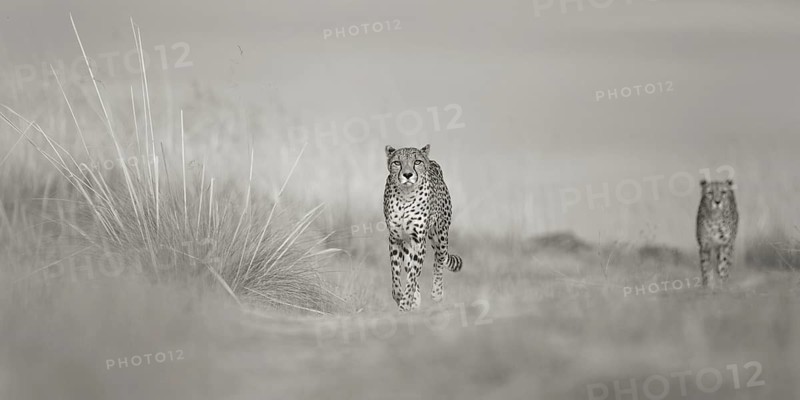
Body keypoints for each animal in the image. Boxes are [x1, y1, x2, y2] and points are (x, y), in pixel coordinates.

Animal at [383, 144, 462, 311]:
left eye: (417, 162)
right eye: (397, 162)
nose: (407, 174)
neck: (405, 195)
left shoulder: (419, 241)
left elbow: (413, 275)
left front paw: (405, 303)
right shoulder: (395, 238)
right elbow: (396, 273)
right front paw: (400, 297)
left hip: (440, 235)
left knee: (438, 260)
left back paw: (436, 294)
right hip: (408, 243)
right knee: (410, 265)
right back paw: (416, 298)